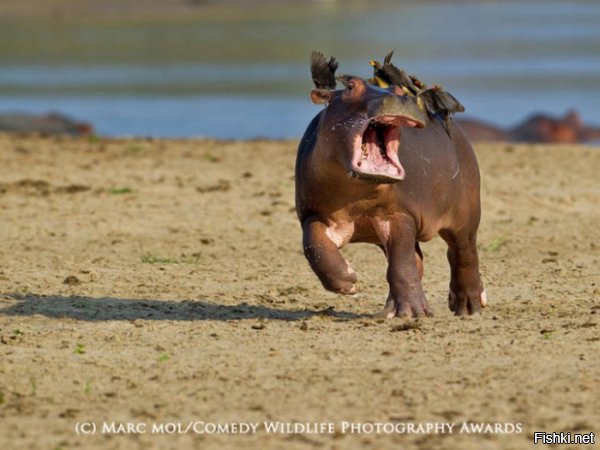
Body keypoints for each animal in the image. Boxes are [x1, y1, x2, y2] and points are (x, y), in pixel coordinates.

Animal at [296, 54, 488, 318]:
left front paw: (415, 313)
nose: (399, 97)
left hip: (466, 214)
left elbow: (401, 263)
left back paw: (468, 307)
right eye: (349, 87)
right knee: (419, 260)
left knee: (463, 254)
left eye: (399, 90)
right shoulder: (313, 213)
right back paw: (389, 310)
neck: (357, 195)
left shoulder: (400, 214)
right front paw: (348, 282)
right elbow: (314, 245)